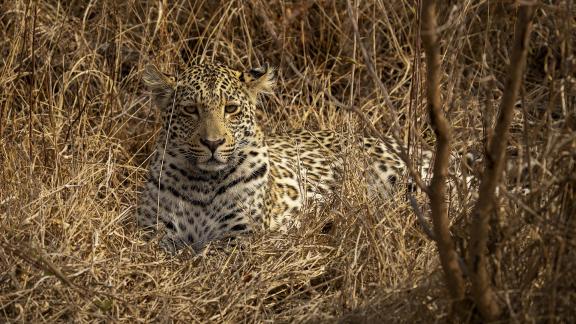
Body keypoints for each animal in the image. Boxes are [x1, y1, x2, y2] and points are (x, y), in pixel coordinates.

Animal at [136, 61, 428, 253]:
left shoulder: (241, 234)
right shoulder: (154, 233)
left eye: (230, 108)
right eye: (190, 110)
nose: (212, 143)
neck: (203, 183)